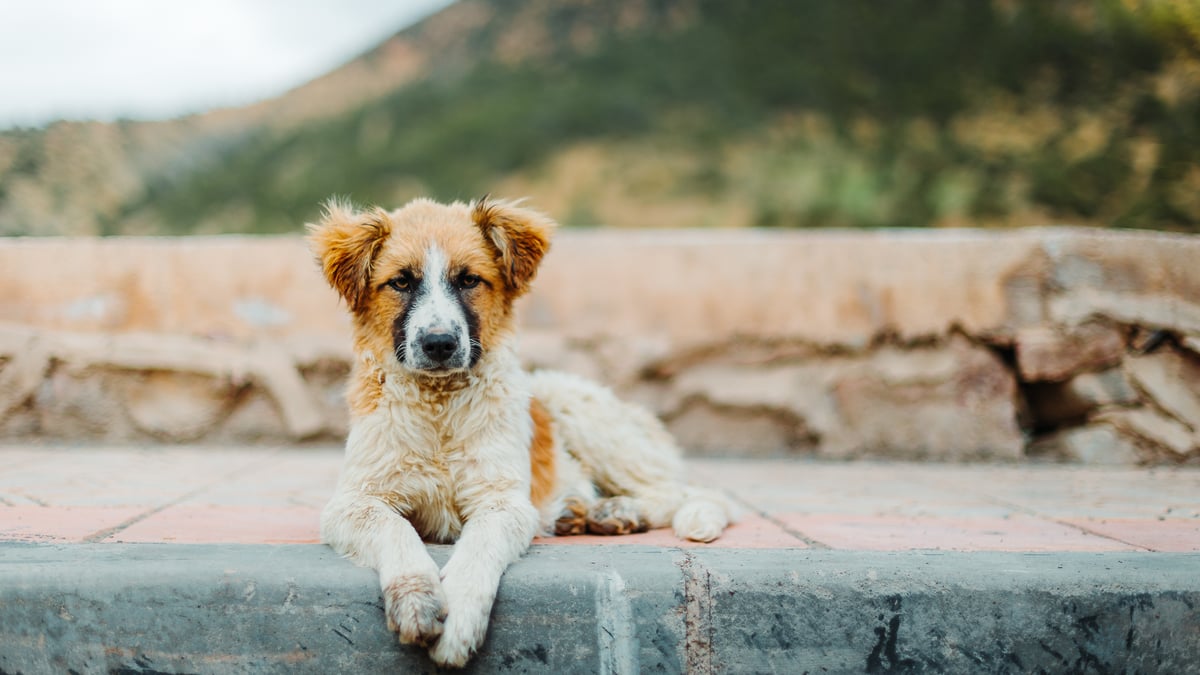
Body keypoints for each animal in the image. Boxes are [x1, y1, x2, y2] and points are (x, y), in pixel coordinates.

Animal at [309, 196, 729, 662]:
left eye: (469, 279)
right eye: (400, 282)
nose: (439, 344)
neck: (439, 408)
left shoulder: (503, 500)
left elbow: (480, 546)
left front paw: (459, 618)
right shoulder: (355, 501)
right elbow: (395, 529)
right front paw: (417, 596)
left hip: (578, 410)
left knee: (682, 492)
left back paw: (617, 511)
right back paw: (585, 512)